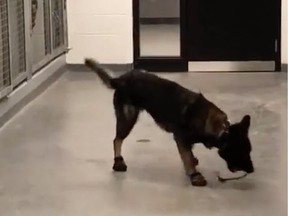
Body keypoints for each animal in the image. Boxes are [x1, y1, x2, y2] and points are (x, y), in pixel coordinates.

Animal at [84, 58, 253, 186]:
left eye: (249, 150)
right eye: (242, 151)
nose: (252, 170)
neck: (222, 130)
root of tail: (121, 79)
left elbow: (190, 156)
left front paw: (193, 164)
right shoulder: (180, 138)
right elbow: (187, 158)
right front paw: (194, 175)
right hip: (128, 118)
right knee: (117, 140)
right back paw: (118, 162)